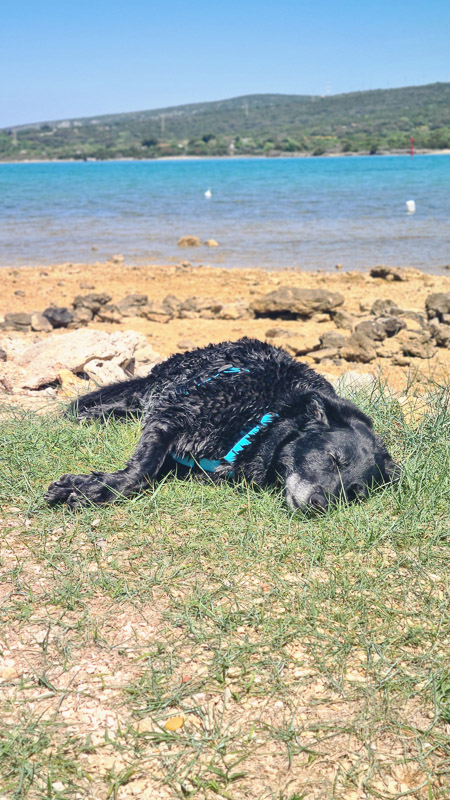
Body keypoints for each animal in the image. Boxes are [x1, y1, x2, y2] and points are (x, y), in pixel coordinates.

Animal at [45, 337, 400, 511]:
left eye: (354, 493)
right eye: (333, 459)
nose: (321, 505)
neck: (264, 416)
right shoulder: (170, 415)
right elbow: (141, 471)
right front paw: (94, 489)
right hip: (157, 388)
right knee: (130, 397)